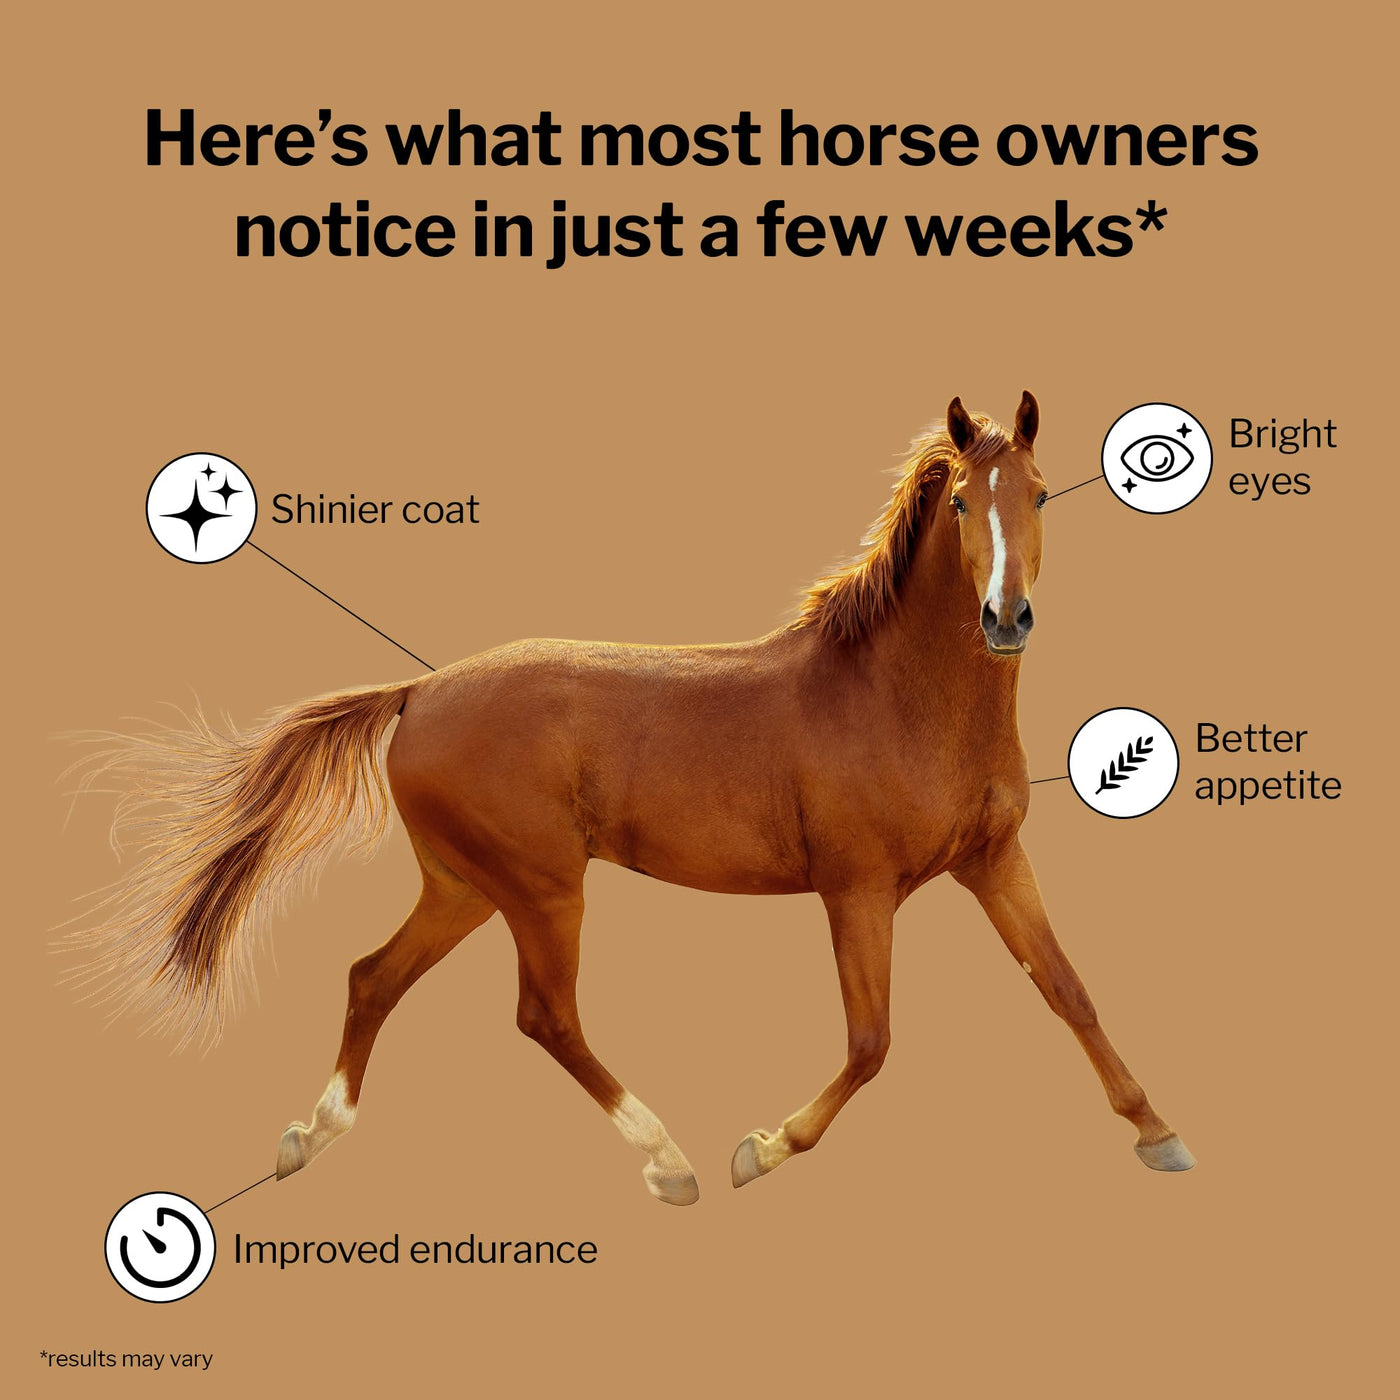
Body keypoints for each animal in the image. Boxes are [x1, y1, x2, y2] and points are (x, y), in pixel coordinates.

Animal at [69, 392, 1194, 1205]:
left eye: (1041, 494)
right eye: (961, 501)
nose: (1006, 619)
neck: (898, 697)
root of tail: (417, 692)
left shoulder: (992, 860)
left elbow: (1069, 989)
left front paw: (1159, 1132)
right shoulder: (859, 889)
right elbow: (871, 1043)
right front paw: (761, 1147)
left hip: (465, 885)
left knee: (371, 977)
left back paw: (311, 1135)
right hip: (542, 889)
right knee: (543, 1015)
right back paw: (671, 1161)